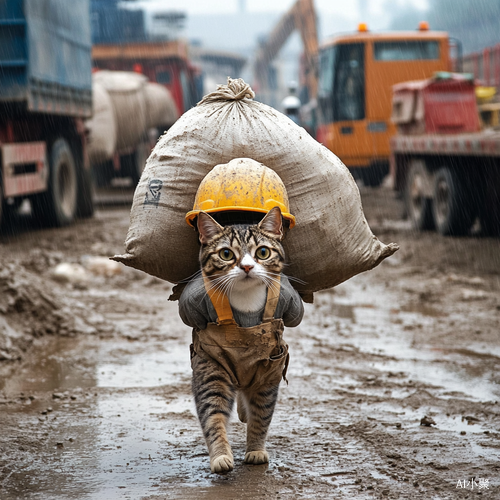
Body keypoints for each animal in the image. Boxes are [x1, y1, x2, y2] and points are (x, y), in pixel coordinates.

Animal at [180, 206, 304, 472]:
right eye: (226, 254)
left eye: (263, 252)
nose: (247, 267)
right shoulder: (210, 366)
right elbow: (213, 413)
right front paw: (220, 456)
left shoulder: (269, 373)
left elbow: (262, 415)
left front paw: (255, 450)